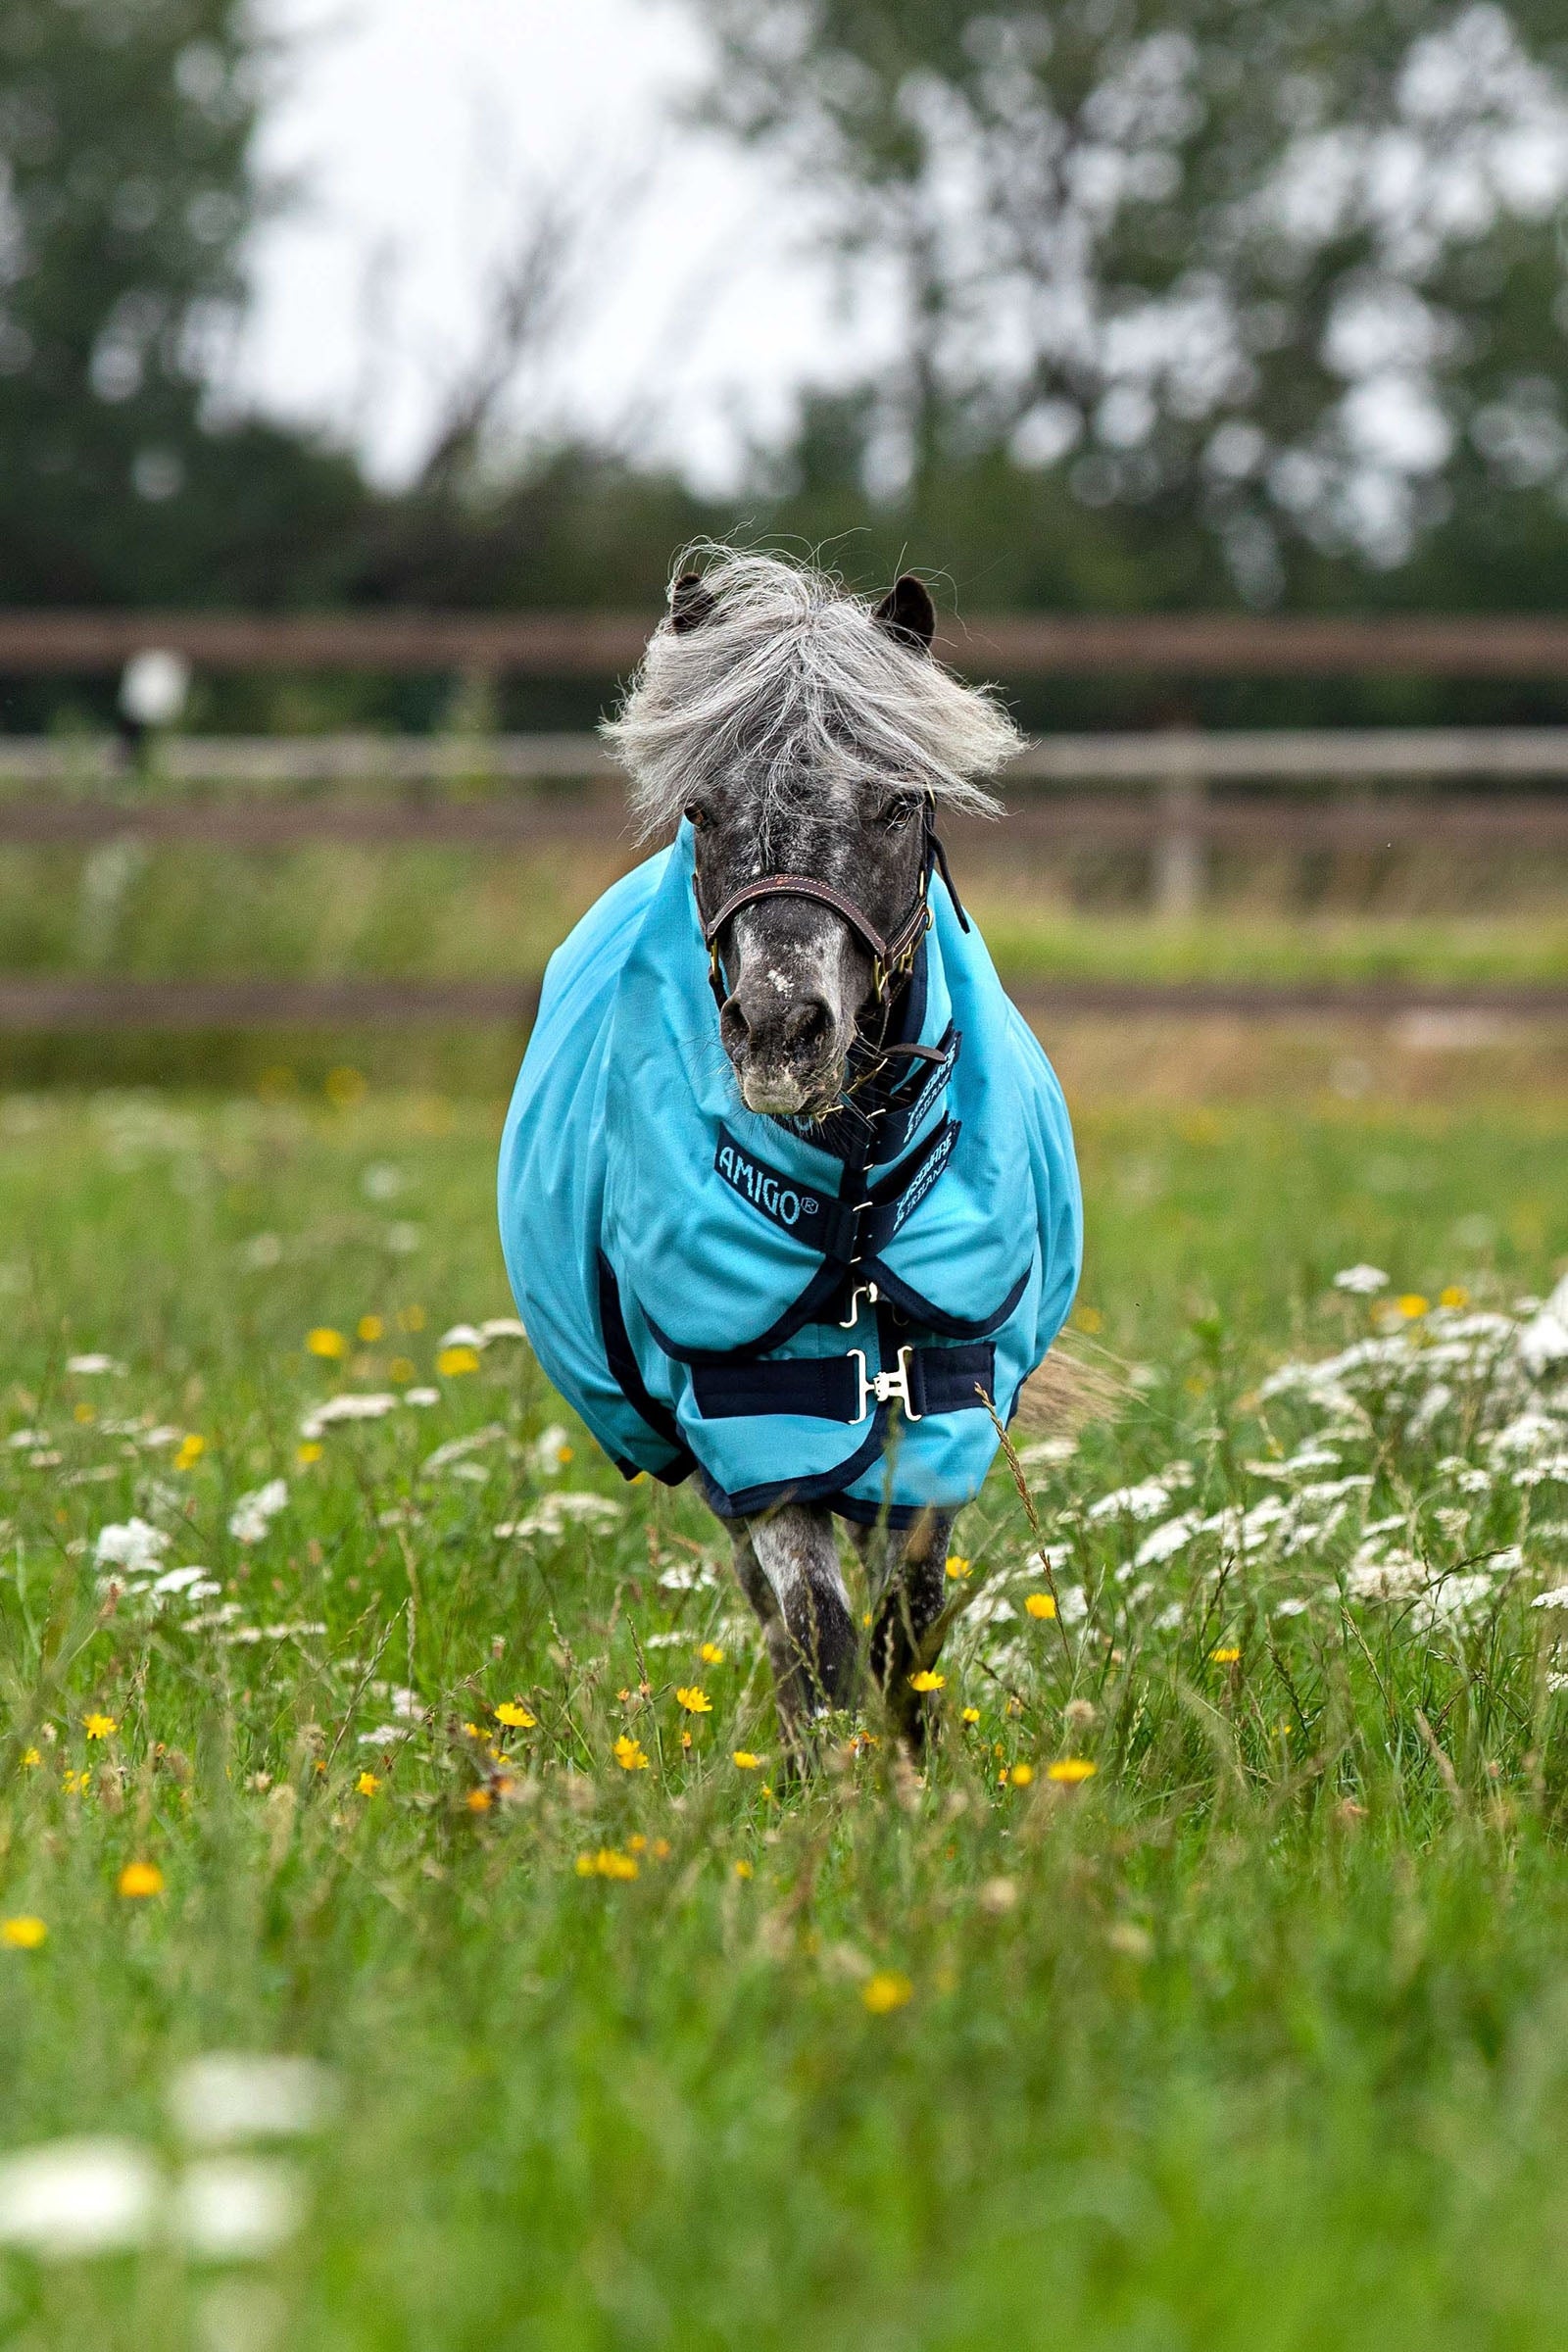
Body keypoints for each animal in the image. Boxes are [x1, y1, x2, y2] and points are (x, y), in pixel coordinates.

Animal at [498, 549, 1082, 1759]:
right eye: (700, 808)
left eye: (898, 803)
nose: (779, 1030)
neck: (856, 1196)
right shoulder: (760, 1430)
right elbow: (817, 1640)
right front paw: (835, 1788)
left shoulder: (939, 1422)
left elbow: (907, 1636)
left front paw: (911, 1785)